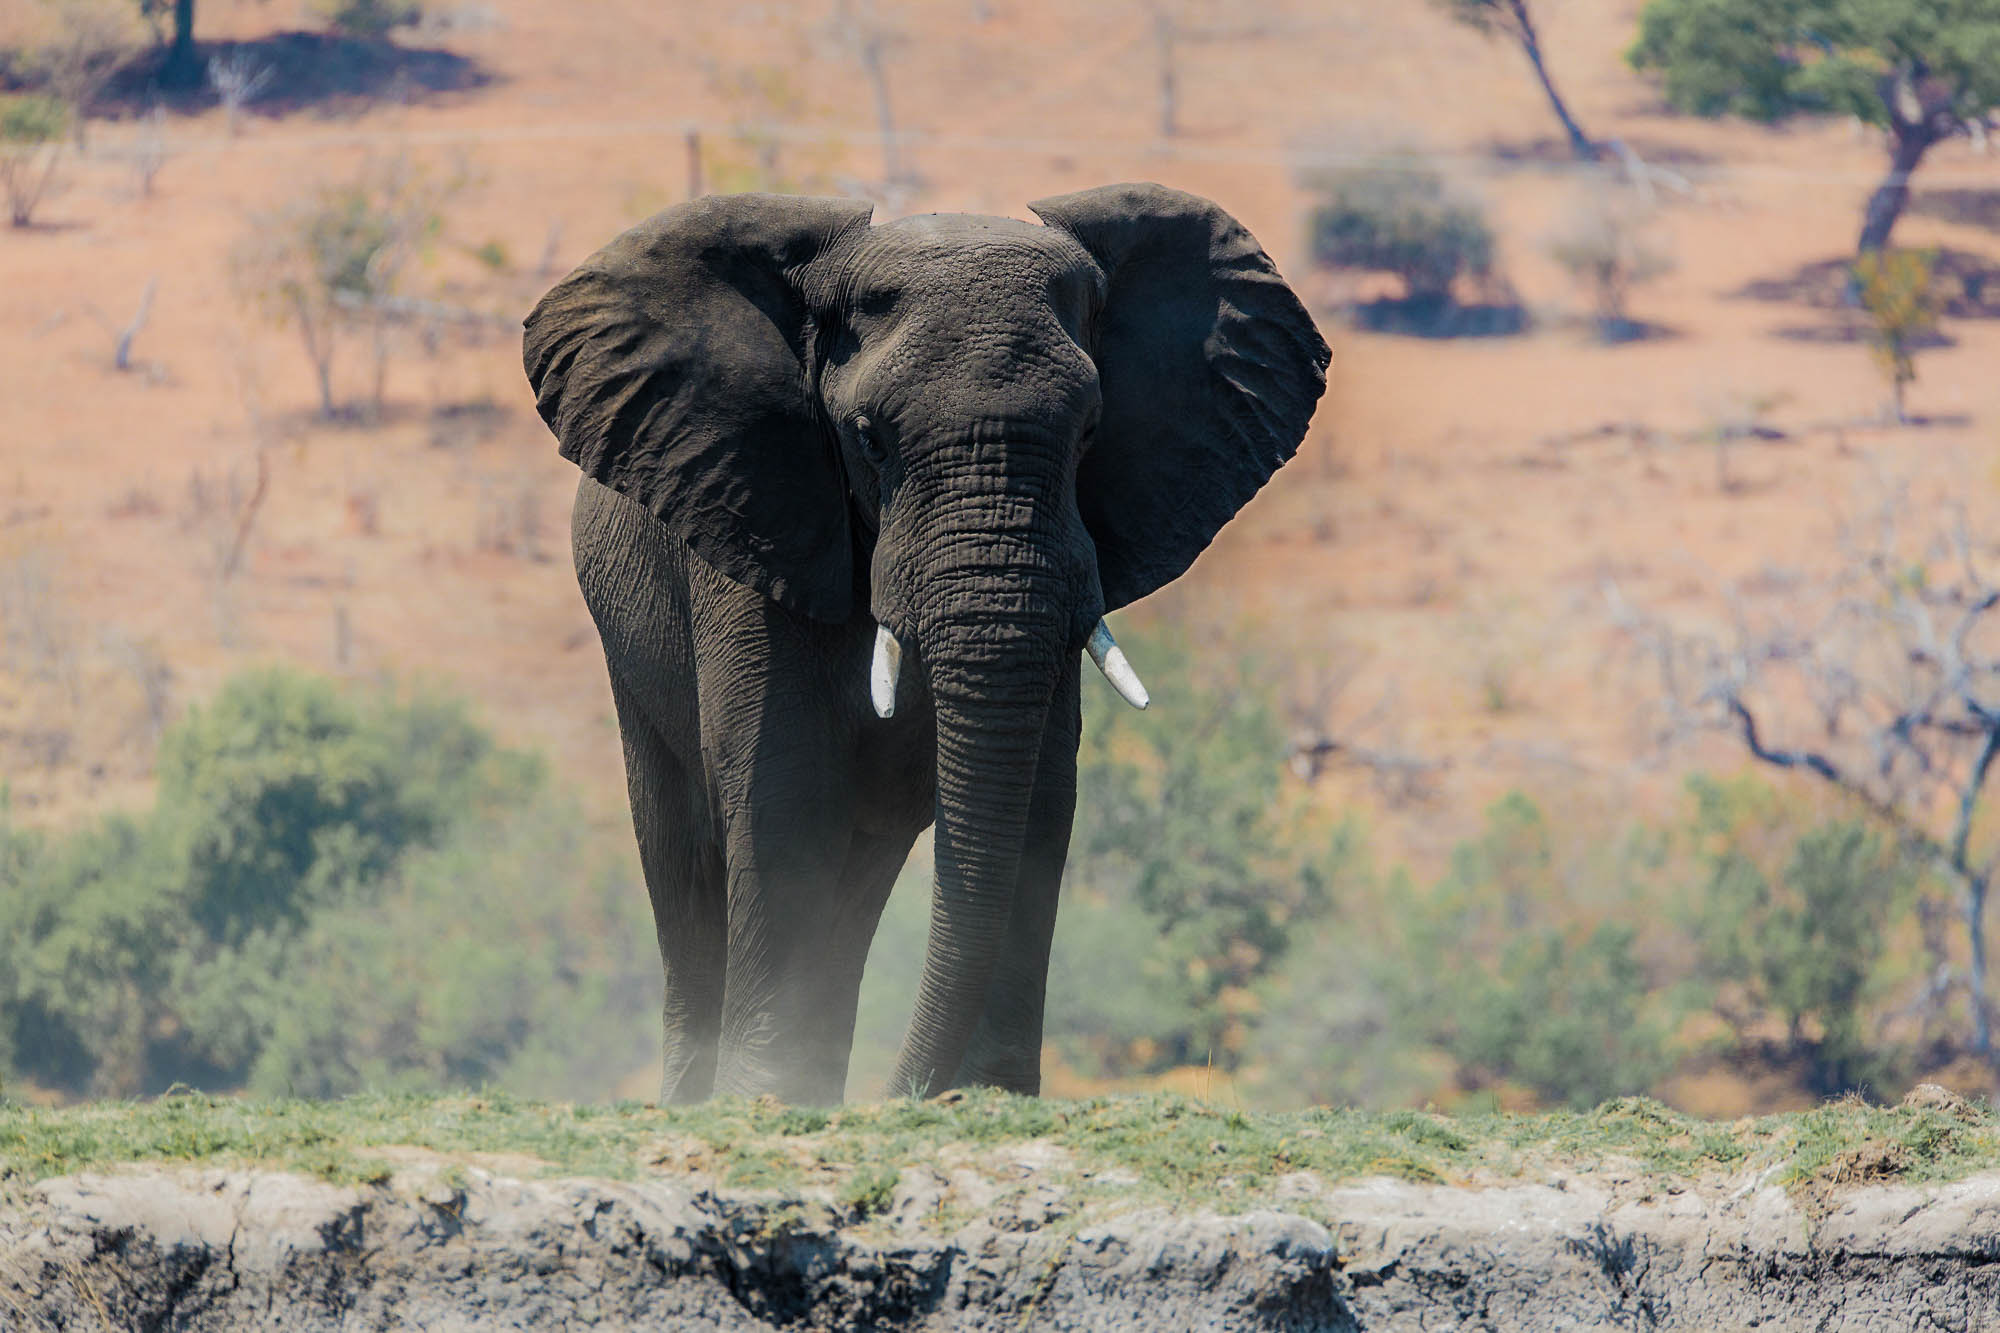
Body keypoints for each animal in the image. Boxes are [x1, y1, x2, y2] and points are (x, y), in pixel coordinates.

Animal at [524, 187, 1328, 1096]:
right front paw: (765, 1096)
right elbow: (785, 790)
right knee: (684, 854)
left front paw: (985, 1095)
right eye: (869, 437)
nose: (902, 1092)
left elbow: (1042, 795)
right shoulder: (757, 517)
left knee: (855, 882)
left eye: (1091, 433)